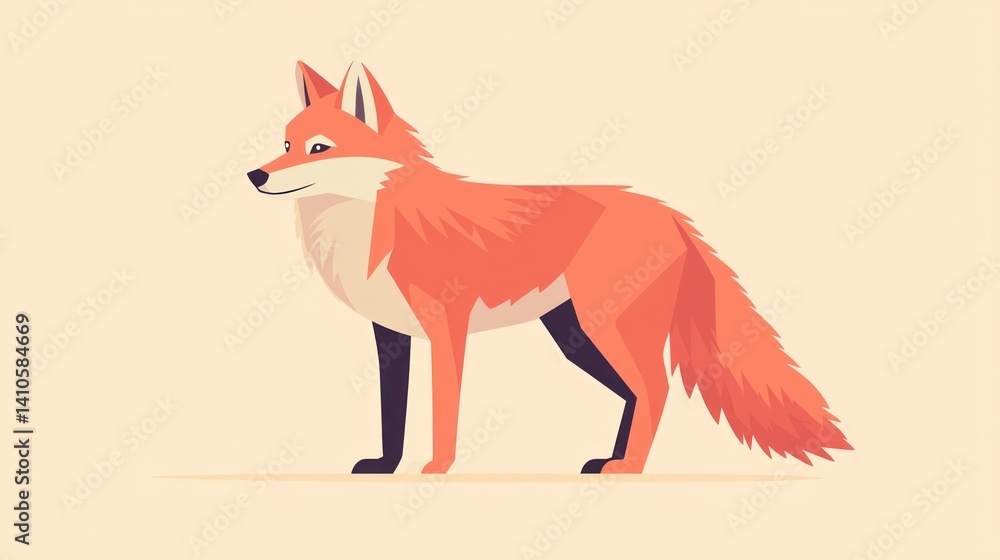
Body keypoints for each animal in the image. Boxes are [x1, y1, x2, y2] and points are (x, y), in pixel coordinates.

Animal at [247, 61, 851, 474]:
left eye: (318, 148)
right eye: (285, 143)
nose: (255, 174)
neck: (375, 223)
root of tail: (668, 212)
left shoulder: (447, 330)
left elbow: (442, 413)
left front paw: (437, 469)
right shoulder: (390, 336)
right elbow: (390, 414)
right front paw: (385, 468)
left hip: (608, 328)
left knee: (654, 390)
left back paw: (629, 469)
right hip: (577, 335)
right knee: (636, 394)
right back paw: (609, 460)